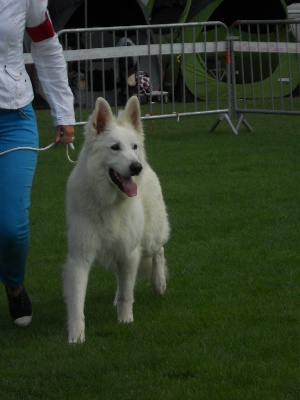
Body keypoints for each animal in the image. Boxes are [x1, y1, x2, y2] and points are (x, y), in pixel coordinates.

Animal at [62, 95, 170, 342]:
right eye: (115, 147)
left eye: (133, 146)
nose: (136, 167)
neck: (107, 203)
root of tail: (148, 165)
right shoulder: (80, 258)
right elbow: (77, 302)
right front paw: (76, 337)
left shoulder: (129, 253)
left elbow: (126, 294)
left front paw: (125, 320)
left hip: (149, 239)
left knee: (159, 252)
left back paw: (159, 282)